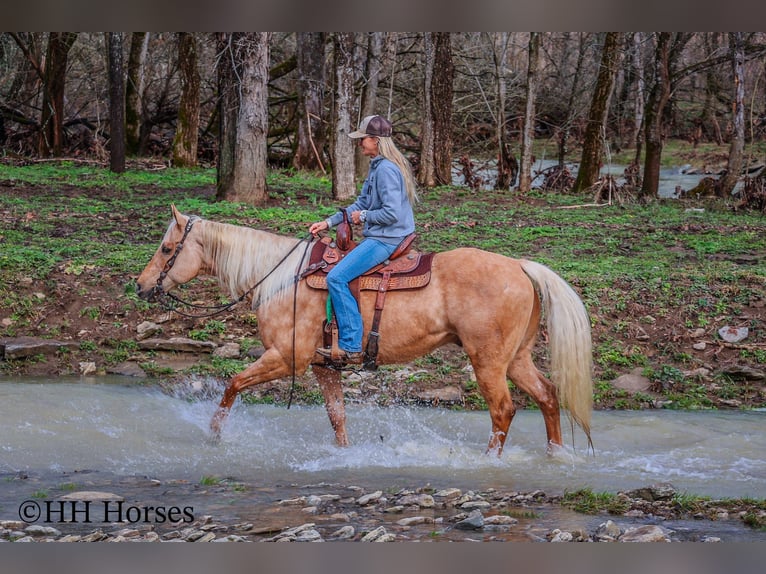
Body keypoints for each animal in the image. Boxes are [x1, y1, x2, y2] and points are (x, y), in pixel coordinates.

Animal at [136, 205, 594, 455]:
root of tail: (519, 266)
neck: (281, 278)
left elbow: (232, 385)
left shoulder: (286, 359)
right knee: (548, 397)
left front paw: (213, 437)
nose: (141, 286)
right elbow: (337, 417)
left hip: (489, 362)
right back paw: (555, 456)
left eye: (166, 248)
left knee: (503, 410)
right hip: (516, 359)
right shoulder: (322, 366)